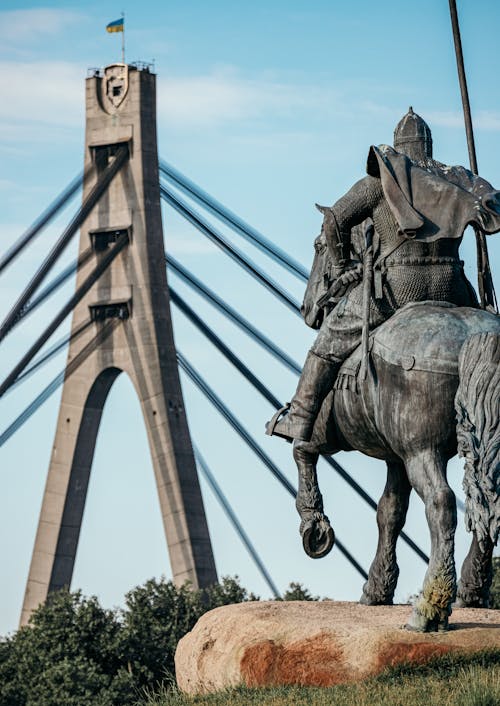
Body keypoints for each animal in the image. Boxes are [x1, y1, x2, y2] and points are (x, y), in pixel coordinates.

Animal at [292, 219, 500, 628]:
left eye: (319, 245)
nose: (308, 309)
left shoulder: (327, 435)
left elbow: (302, 449)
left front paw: (314, 525)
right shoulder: (395, 457)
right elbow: (389, 513)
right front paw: (378, 587)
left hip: (423, 451)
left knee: (441, 504)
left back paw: (431, 608)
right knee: (486, 502)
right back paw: (472, 591)